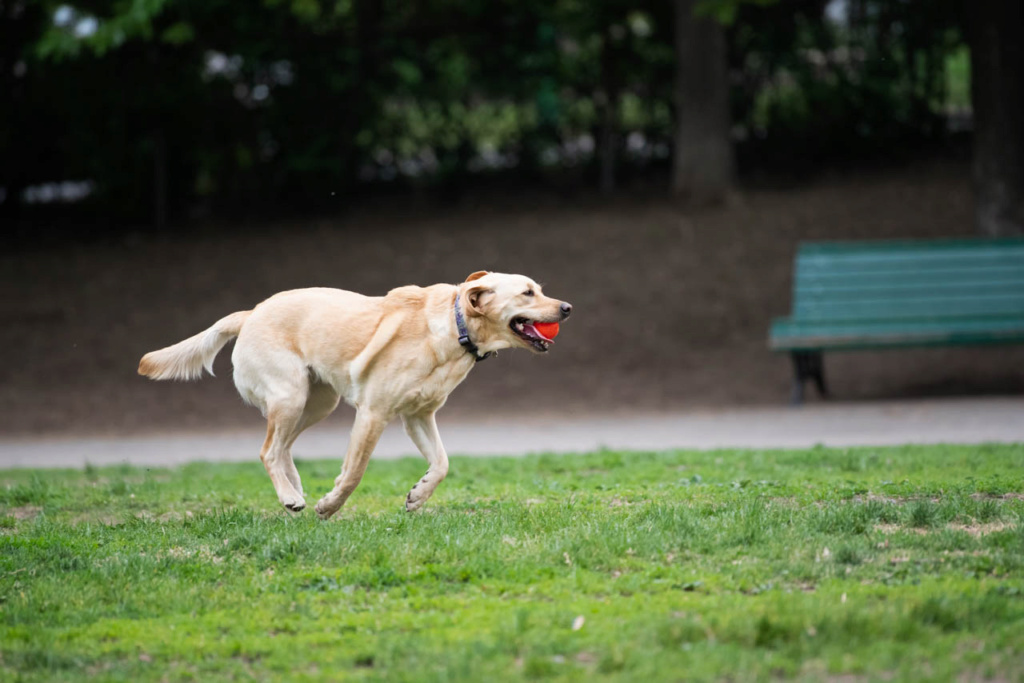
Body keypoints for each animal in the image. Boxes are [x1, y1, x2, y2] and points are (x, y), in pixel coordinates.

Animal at [138, 270, 569, 518]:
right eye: (527, 293)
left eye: (539, 290)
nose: (567, 307)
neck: (456, 326)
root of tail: (250, 313)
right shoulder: (373, 413)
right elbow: (354, 473)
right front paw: (329, 506)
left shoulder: (418, 416)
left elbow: (442, 464)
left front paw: (417, 497)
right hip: (291, 396)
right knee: (267, 450)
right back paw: (292, 497)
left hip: (317, 403)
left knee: (281, 448)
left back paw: (293, 491)